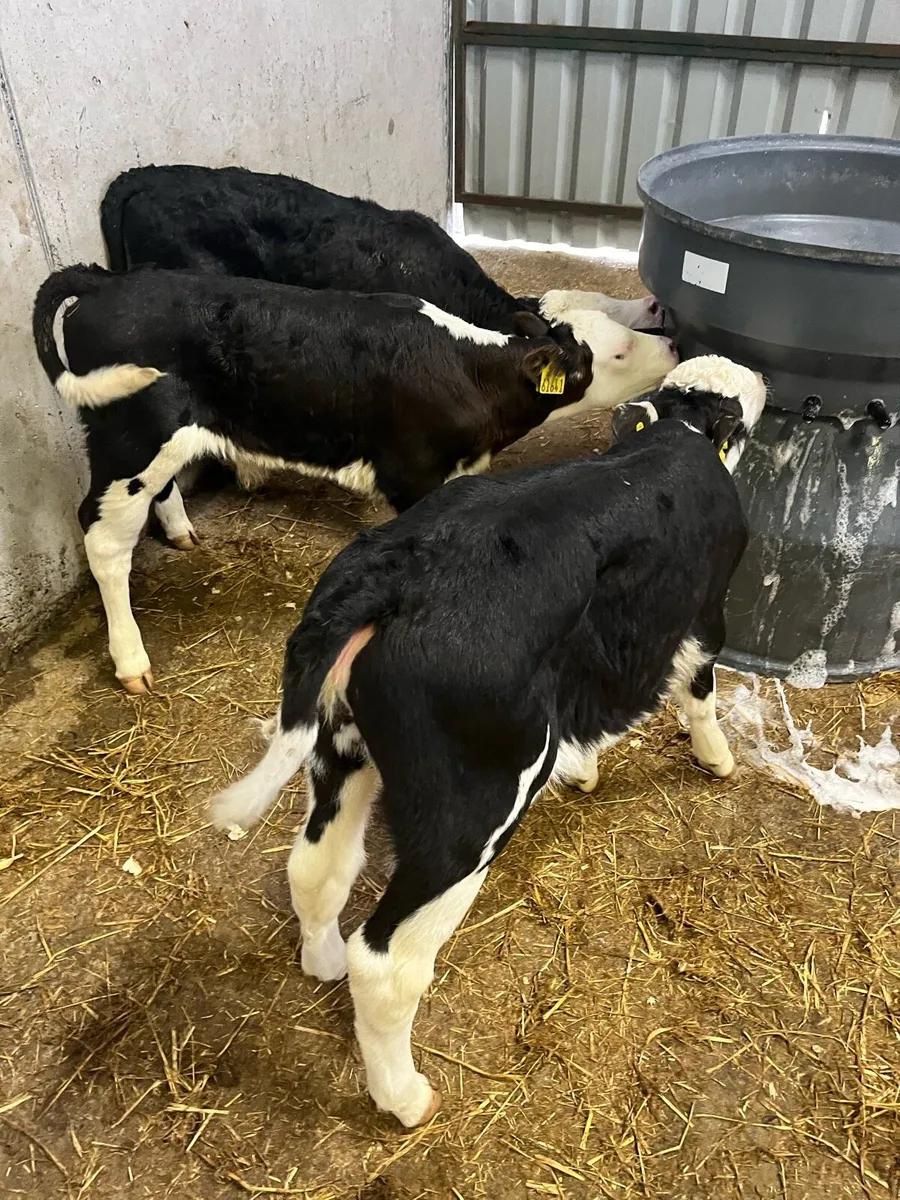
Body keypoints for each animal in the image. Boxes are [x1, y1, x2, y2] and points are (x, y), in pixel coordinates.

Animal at [33, 264, 674, 693]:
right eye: (614, 353)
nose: (671, 341)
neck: (467, 370)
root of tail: (107, 282)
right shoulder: (413, 477)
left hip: (156, 439)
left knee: (158, 490)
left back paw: (182, 533)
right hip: (127, 435)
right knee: (102, 537)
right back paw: (131, 660)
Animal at [208, 354, 768, 1128]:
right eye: (736, 411)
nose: (759, 380)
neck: (671, 437)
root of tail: (394, 573)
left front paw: (584, 771)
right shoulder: (702, 613)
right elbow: (700, 689)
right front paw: (716, 761)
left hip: (340, 745)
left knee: (317, 867)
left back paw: (320, 960)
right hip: (472, 808)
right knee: (386, 962)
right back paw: (407, 1098)